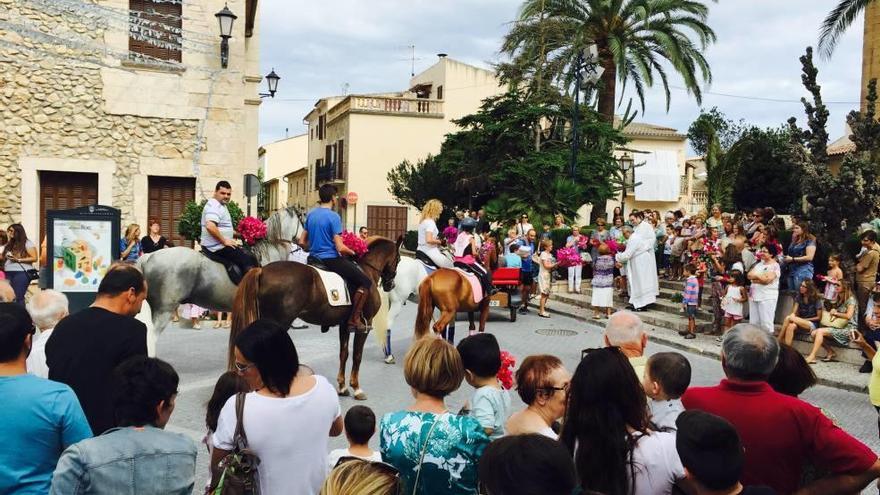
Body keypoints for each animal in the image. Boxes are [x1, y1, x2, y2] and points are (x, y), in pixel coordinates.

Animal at [230, 234, 402, 402]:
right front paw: (357, 388)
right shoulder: (365, 325)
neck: (367, 270)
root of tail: (262, 271)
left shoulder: (344, 326)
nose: (391, 285)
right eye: (399, 259)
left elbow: (344, 354)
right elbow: (357, 356)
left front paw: (342, 387)